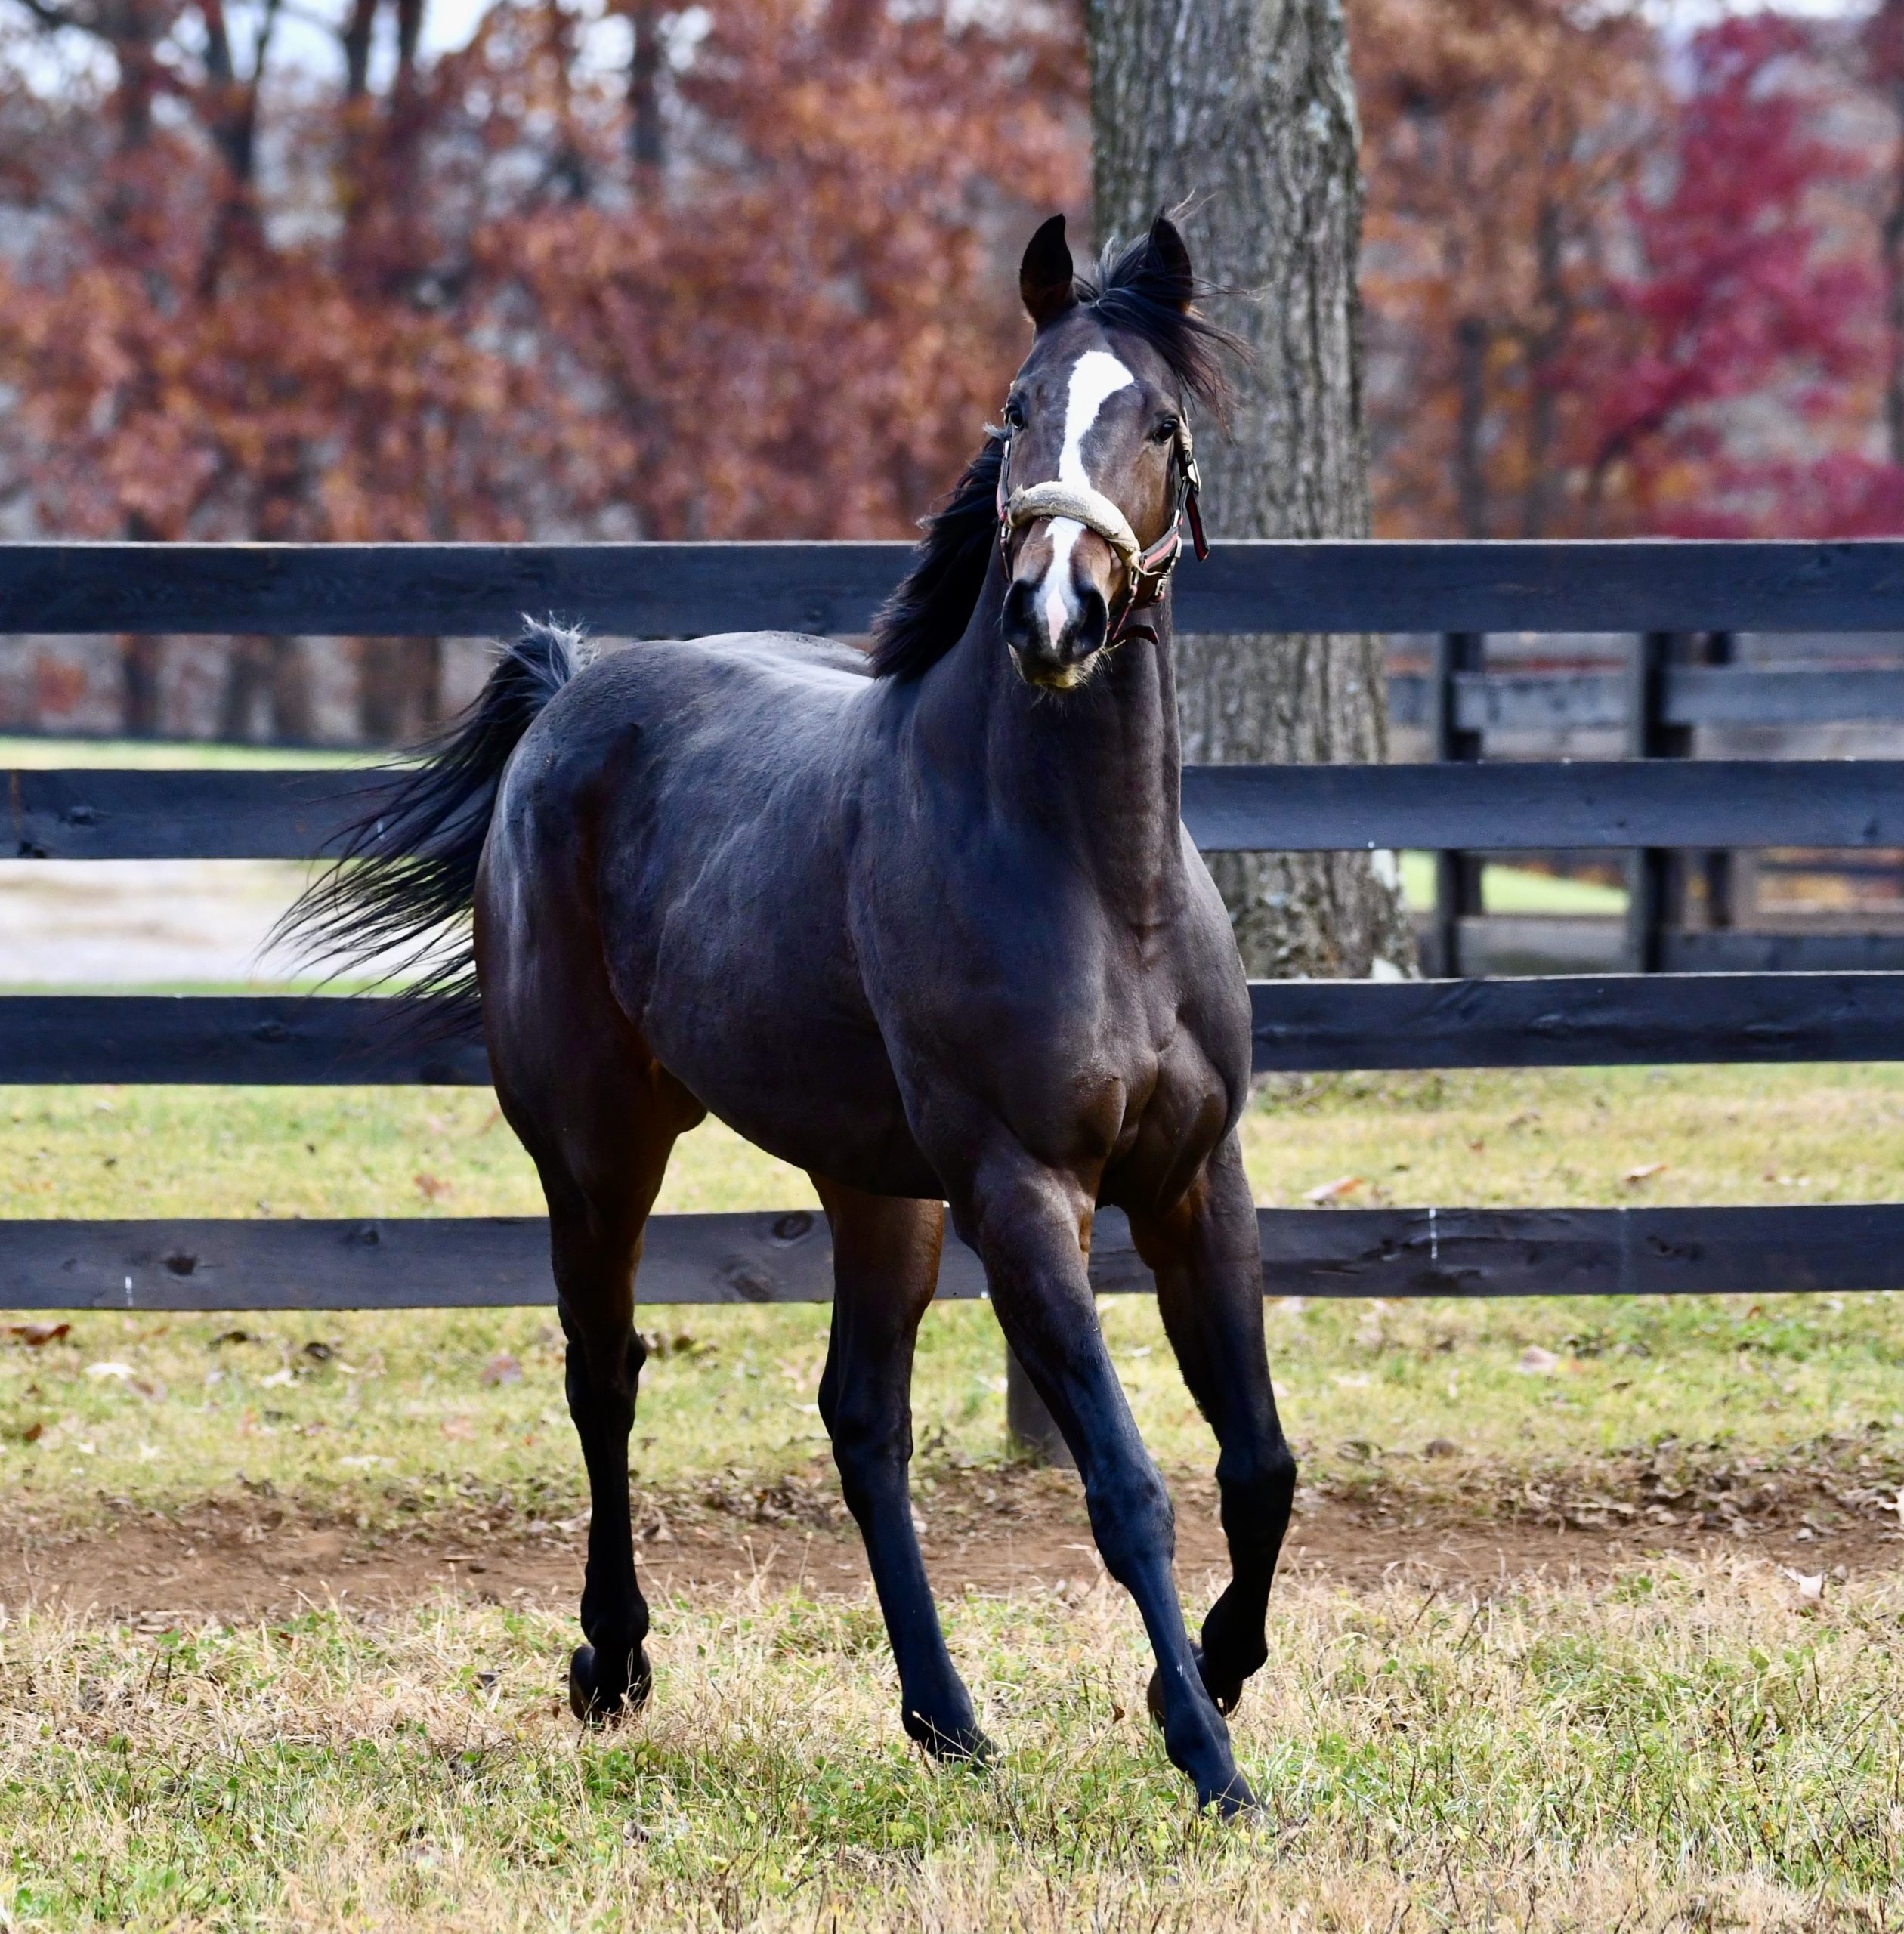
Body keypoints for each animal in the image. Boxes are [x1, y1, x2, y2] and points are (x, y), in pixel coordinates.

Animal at [289, 211, 1298, 1814]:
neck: (1095, 878)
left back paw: (947, 1718)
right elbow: (1126, 1482)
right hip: (598, 1151)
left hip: (877, 1186)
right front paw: (1207, 1755)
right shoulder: (1026, 1194)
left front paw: (1209, 1670)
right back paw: (613, 1663)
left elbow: (1258, 1463)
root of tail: (569, 692)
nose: (1056, 615)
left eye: (1157, 420)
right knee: (604, 1378)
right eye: (1017, 409)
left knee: (860, 1420)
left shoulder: (1196, 1178)